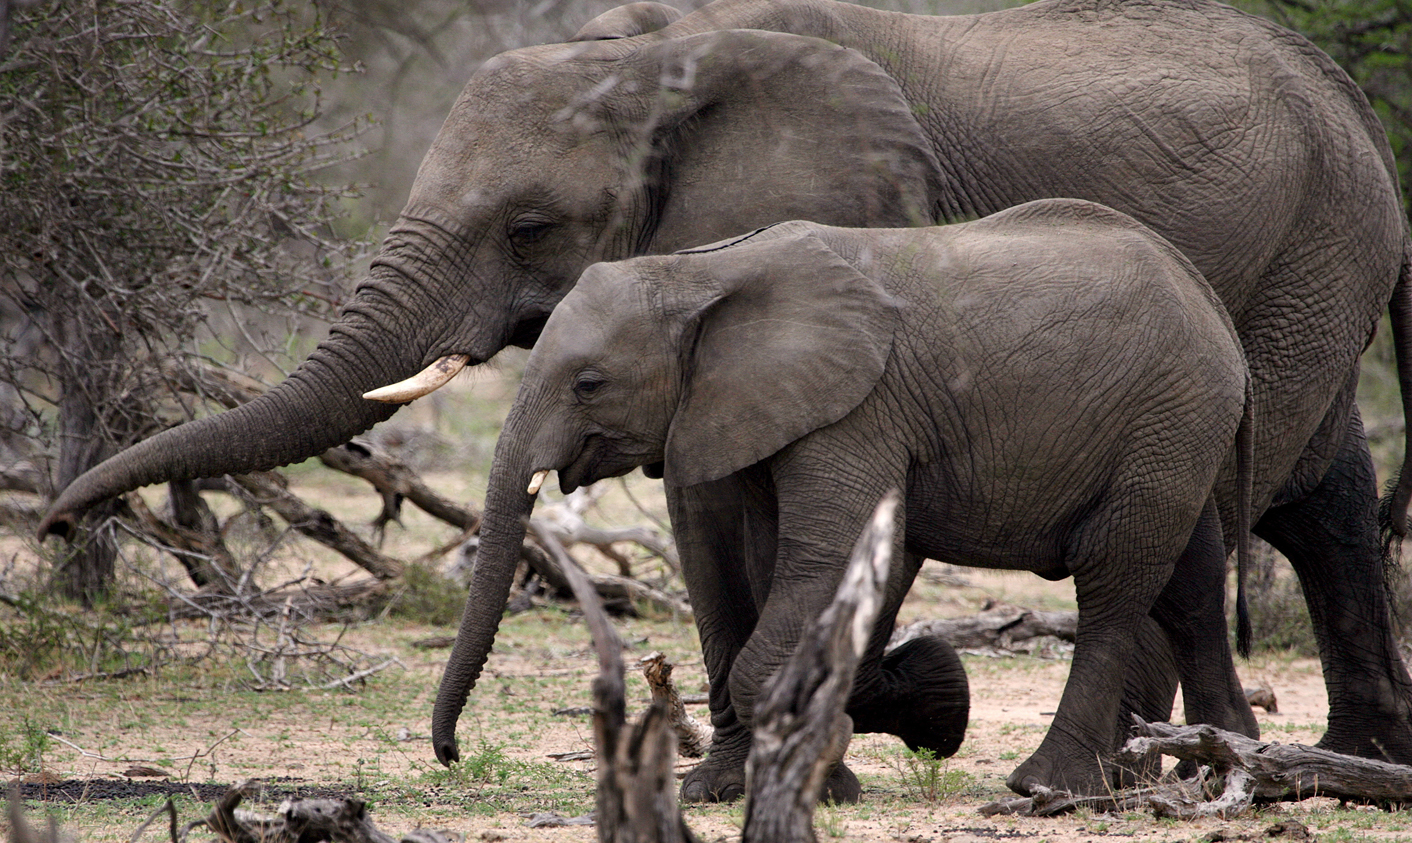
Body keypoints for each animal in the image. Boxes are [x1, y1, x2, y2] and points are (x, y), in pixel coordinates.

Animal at [474, 201, 1259, 795]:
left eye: (589, 383)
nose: (452, 751)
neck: (698, 270)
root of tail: (1215, 306)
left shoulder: (859, 409)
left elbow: (825, 562)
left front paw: (820, 783)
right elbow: (781, 567)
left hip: (1168, 416)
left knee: (1112, 582)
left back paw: (1048, 785)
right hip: (1177, 431)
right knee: (1190, 587)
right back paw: (1225, 768)